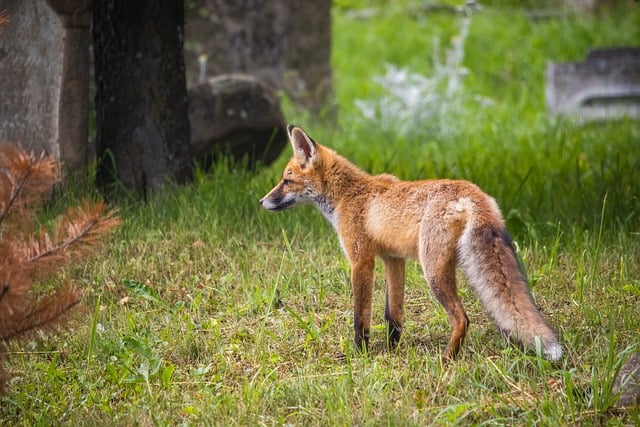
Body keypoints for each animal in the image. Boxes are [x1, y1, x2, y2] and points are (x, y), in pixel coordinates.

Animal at [258, 125, 560, 362]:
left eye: (286, 180)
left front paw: (360, 354)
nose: (261, 201)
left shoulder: (361, 261)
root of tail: (473, 193)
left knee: (462, 318)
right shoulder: (393, 259)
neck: (349, 195)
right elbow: (393, 314)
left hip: (433, 270)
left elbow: (360, 317)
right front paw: (391, 350)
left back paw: (447, 358)